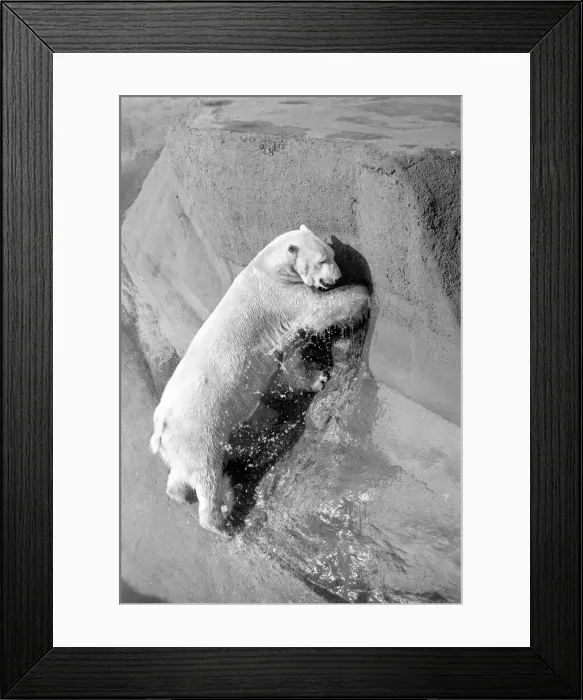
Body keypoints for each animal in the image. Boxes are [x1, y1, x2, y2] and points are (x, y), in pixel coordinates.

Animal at [149, 224, 370, 535]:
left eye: (332, 254)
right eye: (322, 260)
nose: (336, 277)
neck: (266, 267)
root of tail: (161, 428)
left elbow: (290, 352)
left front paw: (316, 377)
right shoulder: (281, 297)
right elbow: (318, 310)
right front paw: (362, 296)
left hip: (181, 443)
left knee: (181, 474)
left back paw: (180, 494)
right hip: (199, 429)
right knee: (206, 476)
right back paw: (222, 523)